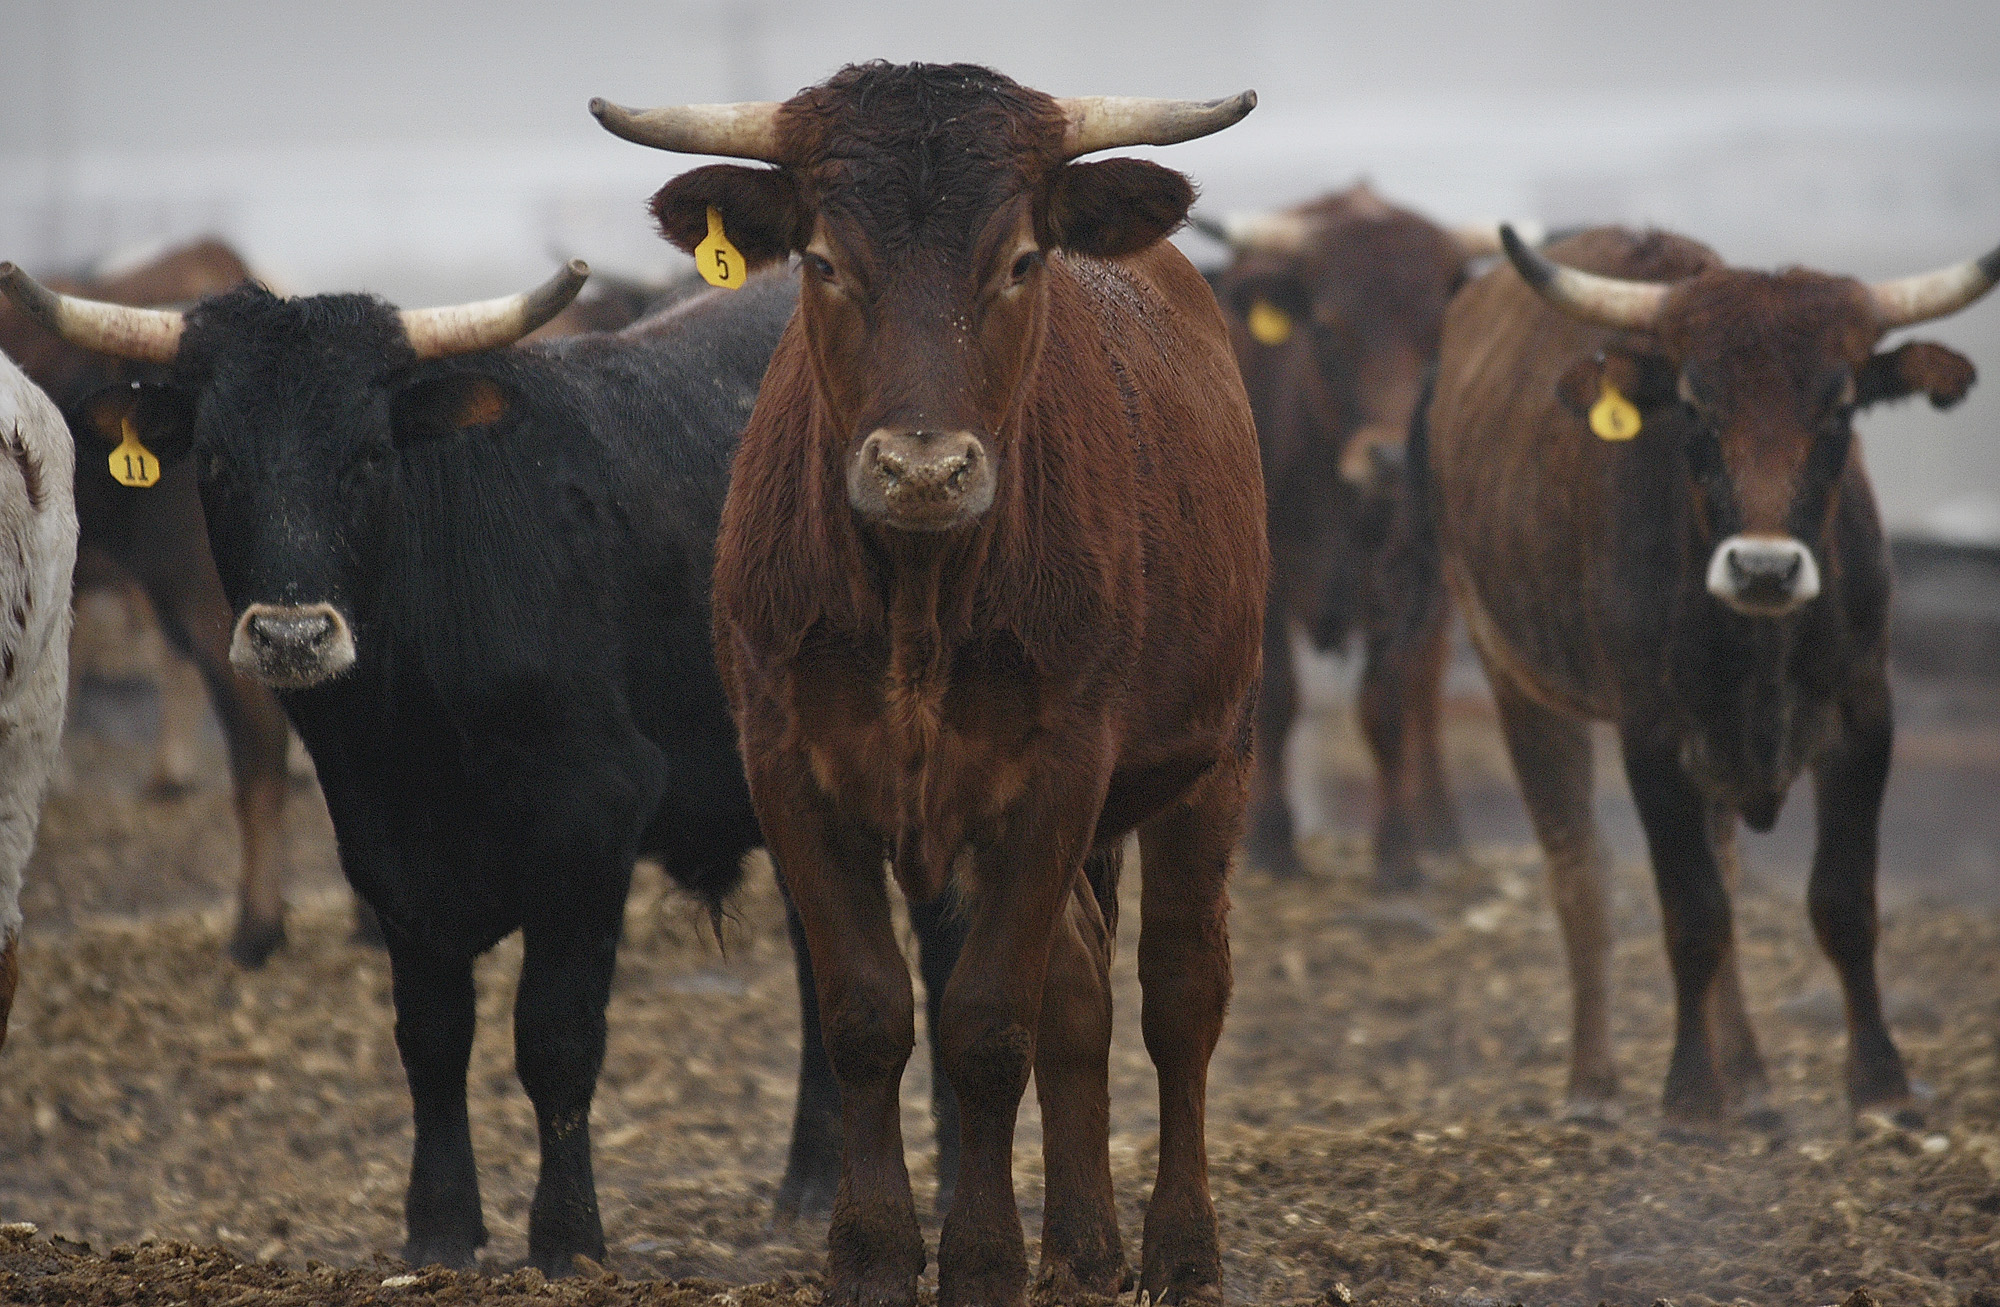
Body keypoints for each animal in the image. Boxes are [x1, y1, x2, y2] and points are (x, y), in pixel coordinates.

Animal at [595, 61, 1267, 1307]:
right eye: (820, 260)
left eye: (1019, 260)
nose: (921, 468)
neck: (914, 595)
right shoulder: (789, 770)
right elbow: (869, 1013)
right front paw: (868, 1252)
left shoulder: (1057, 774)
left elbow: (988, 1023)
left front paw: (982, 1258)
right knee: (1083, 991)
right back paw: (1083, 1248)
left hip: (1214, 758)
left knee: (1179, 992)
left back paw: (1178, 1250)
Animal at [1194, 185, 1523, 887]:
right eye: (1329, 328)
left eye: (1436, 335)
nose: (1392, 459)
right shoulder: (1266, 581)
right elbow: (1278, 700)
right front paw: (1273, 845)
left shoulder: (1406, 582)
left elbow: (1389, 702)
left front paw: (1397, 852)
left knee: (1426, 692)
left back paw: (1440, 828)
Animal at [1416, 223, 1998, 1125]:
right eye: (1694, 407)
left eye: (1839, 408)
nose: (1763, 569)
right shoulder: (1653, 735)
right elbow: (1691, 915)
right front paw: (1689, 1094)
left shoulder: (1868, 712)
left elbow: (1843, 901)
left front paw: (1880, 1082)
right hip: (1515, 677)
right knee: (1578, 871)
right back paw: (1593, 1084)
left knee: (1719, 862)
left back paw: (1751, 1075)